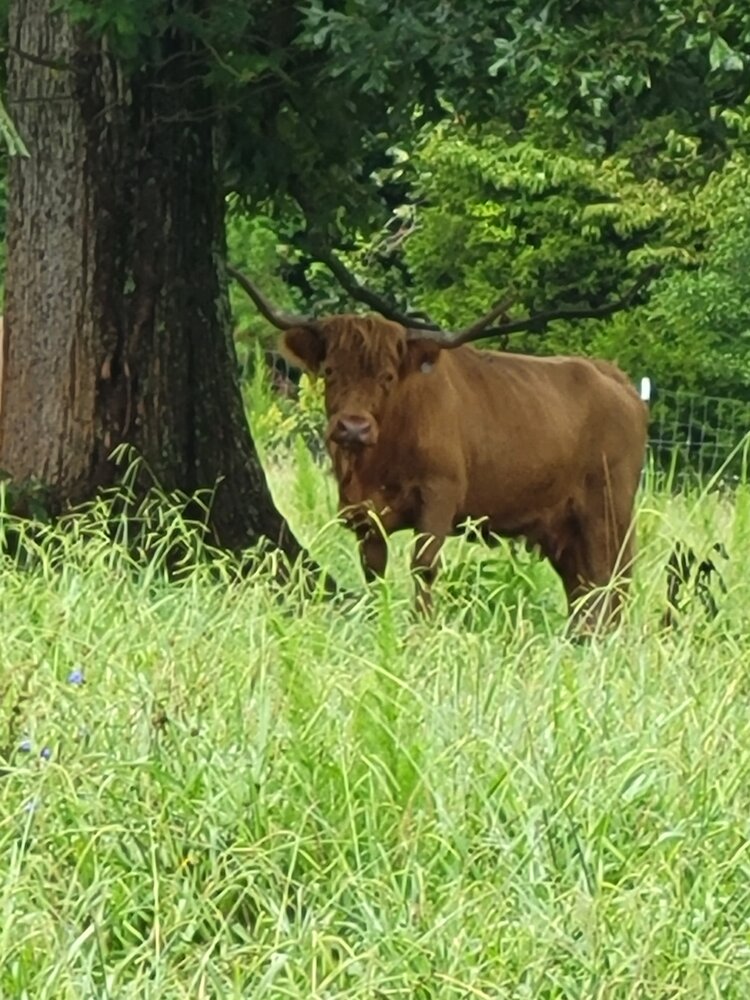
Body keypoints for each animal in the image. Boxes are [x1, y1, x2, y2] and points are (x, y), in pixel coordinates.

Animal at [232, 274, 649, 631]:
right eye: (331, 371)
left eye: (387, 377)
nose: (353, 427)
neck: (376, 463)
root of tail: (613, 377)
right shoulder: (364, 512)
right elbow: (374, 570)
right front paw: (377, 620)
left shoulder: (439, 495)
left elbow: (424, 565)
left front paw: (422, 626)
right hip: (562, 524)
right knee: (582, 585)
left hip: (606, 509)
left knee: (610, 576)